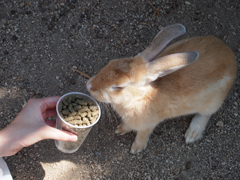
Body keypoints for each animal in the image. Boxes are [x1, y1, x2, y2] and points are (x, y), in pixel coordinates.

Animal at [86, 23, 236, 153]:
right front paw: (121, 129)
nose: (89, 86)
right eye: (110, 63)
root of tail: (230, 55)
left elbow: (142, 135)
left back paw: (192, 134)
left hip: (213, 102)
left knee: (205, 115)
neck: (139, 98)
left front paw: (136, 149)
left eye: (118, 86)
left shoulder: (148, 124)